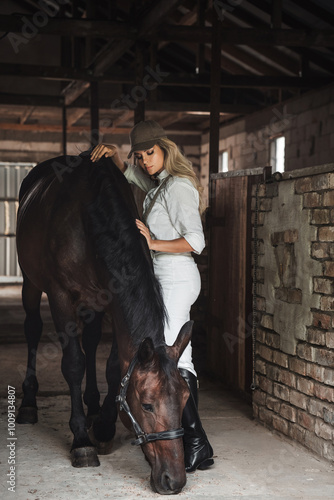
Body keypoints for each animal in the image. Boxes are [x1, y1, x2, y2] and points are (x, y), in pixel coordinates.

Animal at [15, 153, 192, 496]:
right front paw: (82, 441)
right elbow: (73, 364)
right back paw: (29, 403)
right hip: (31, 283)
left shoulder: (111, 300)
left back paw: (94, 406)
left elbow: (112, 367)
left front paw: (105, 426)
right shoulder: (60, 296)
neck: (89, 214)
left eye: (185, 399)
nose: (174, 480)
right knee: (32, 330)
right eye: (147, 405)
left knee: (92, 339)